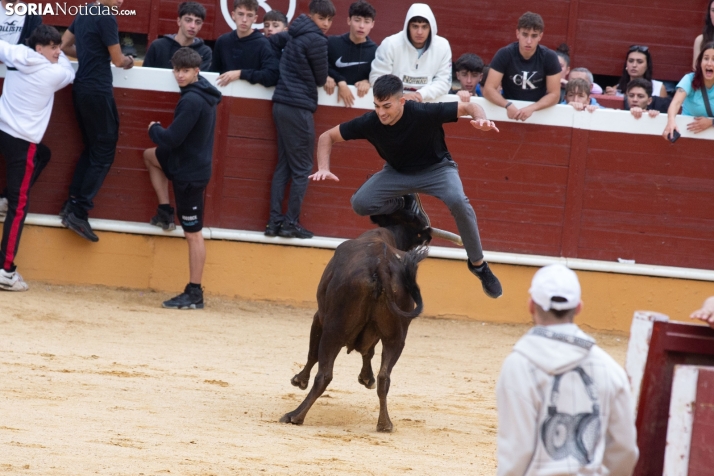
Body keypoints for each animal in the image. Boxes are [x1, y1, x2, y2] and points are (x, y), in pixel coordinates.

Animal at [280, 208, 428, 432]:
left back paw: (295, 415)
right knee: (385, 377)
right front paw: (367, 378)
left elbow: (312, 354)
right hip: (396, 337)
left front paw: (299, 380)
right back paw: (385, 423)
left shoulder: (319, 317)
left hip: (334, 330)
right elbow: (369, 352)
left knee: (324, 375)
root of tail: (381, 264)